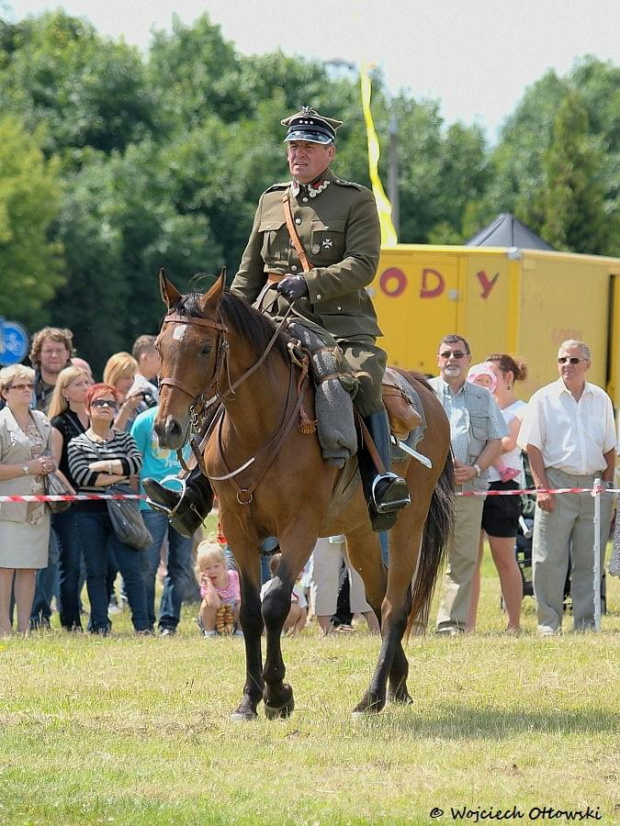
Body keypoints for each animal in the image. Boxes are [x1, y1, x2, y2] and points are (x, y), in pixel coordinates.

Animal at [154, 268, 456, 716]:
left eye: (205, 347)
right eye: (160, 346)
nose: (166, 427)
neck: (258, 426)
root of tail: (424, 388)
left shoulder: (300, 528)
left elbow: (276, 602)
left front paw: (278, 693)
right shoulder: (238, 528)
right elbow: (249, 612)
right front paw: (249, 699)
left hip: (408, 524)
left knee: (394, 606)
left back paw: (371, 696)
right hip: (359, 530)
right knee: (377, 593)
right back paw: (396, 682)